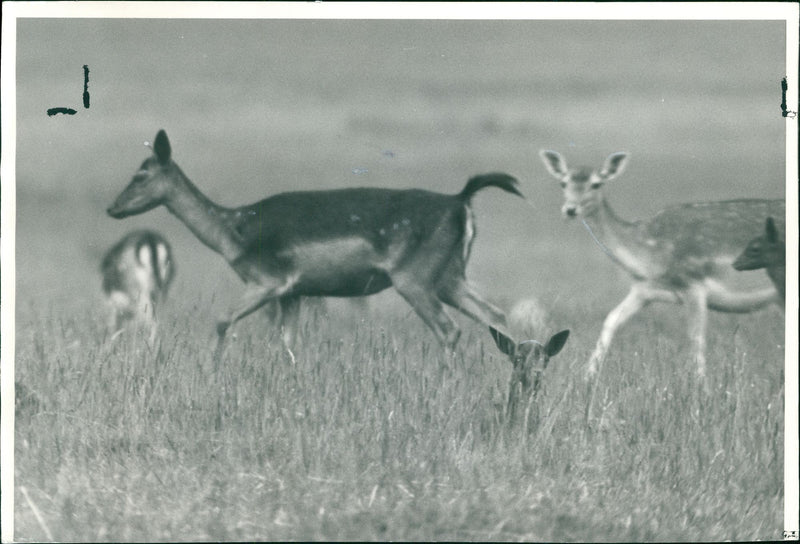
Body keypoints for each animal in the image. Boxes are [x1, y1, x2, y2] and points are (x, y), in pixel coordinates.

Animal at [106, 130, 520, 364]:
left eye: (141, 174)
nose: (113, 208)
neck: (232, 231)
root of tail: (461, 202)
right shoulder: (293, 293)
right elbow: (288, 344)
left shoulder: (267, 281)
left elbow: (223, 320)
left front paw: (211, 369)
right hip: (450, 276)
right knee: (496, 315)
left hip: (414, 279)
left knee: (449, 330)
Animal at [540, 149, 784, 384]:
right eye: (563, 182)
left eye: (596, 183)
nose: (570, 209)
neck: (648, 256)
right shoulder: (643, 289)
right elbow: (611, 320)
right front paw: (586, 378)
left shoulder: (693, 283)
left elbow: (696, 339)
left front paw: (700, 386)